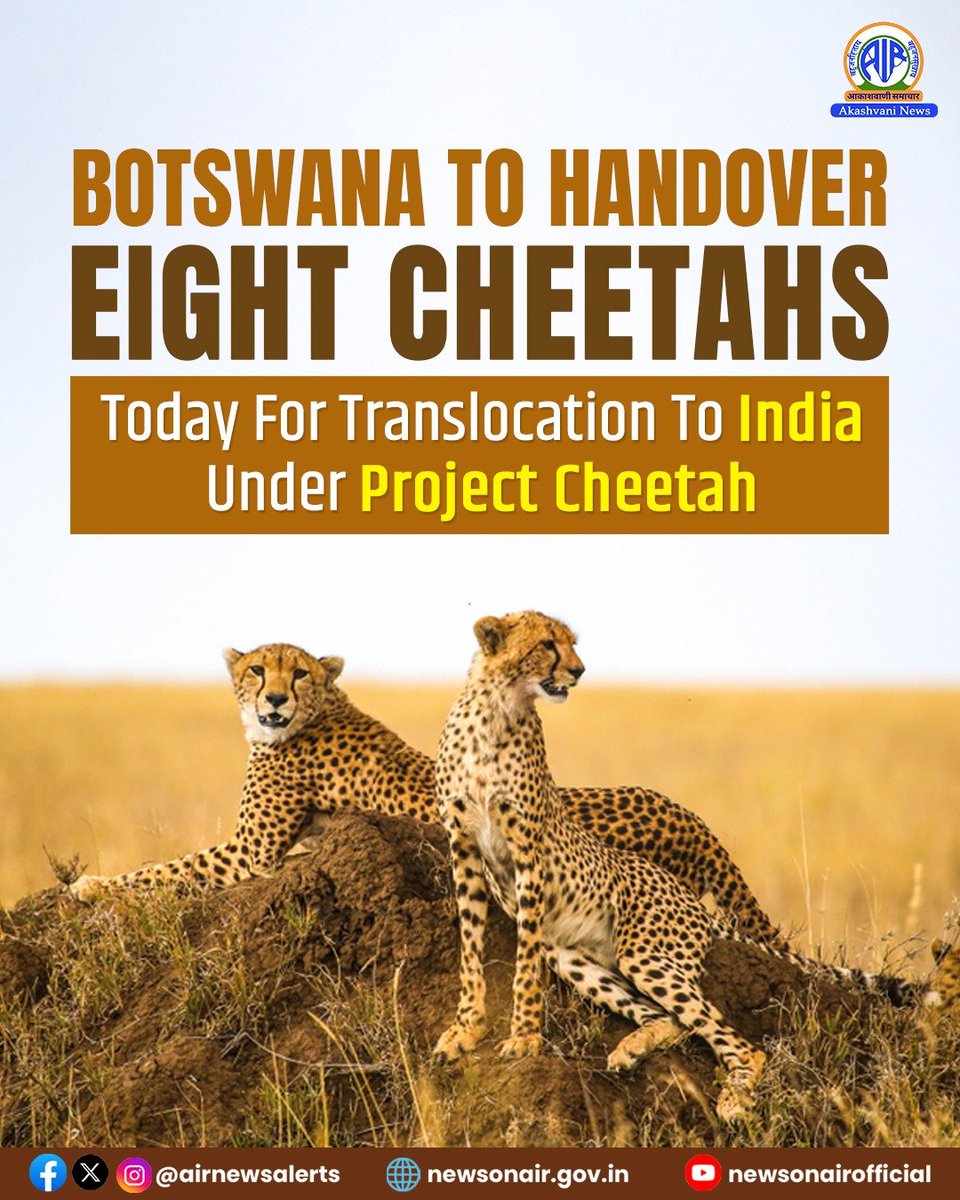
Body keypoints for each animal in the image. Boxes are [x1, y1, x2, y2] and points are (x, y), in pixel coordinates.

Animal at [68, 641, 788, 964]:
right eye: (256, 670)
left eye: (297, 672)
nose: (271, 697)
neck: (317, 711)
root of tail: (682, 812)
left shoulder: (250, 853)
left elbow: (164, 870)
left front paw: (87, 884)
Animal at [432, 611, 918, 1121]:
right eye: (547, 644)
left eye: (571, 643)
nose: (579, 670)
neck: (497, 710)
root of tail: (690, 901)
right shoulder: (464, 849)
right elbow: (470, 949)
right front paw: (465, 1029)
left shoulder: (528, 852)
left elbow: (524, 963)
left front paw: (523, 1037)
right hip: (575, 957)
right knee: (670, 1018)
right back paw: (632, 1049)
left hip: (645, 954)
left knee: (740, 1044)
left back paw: (733, 1098)